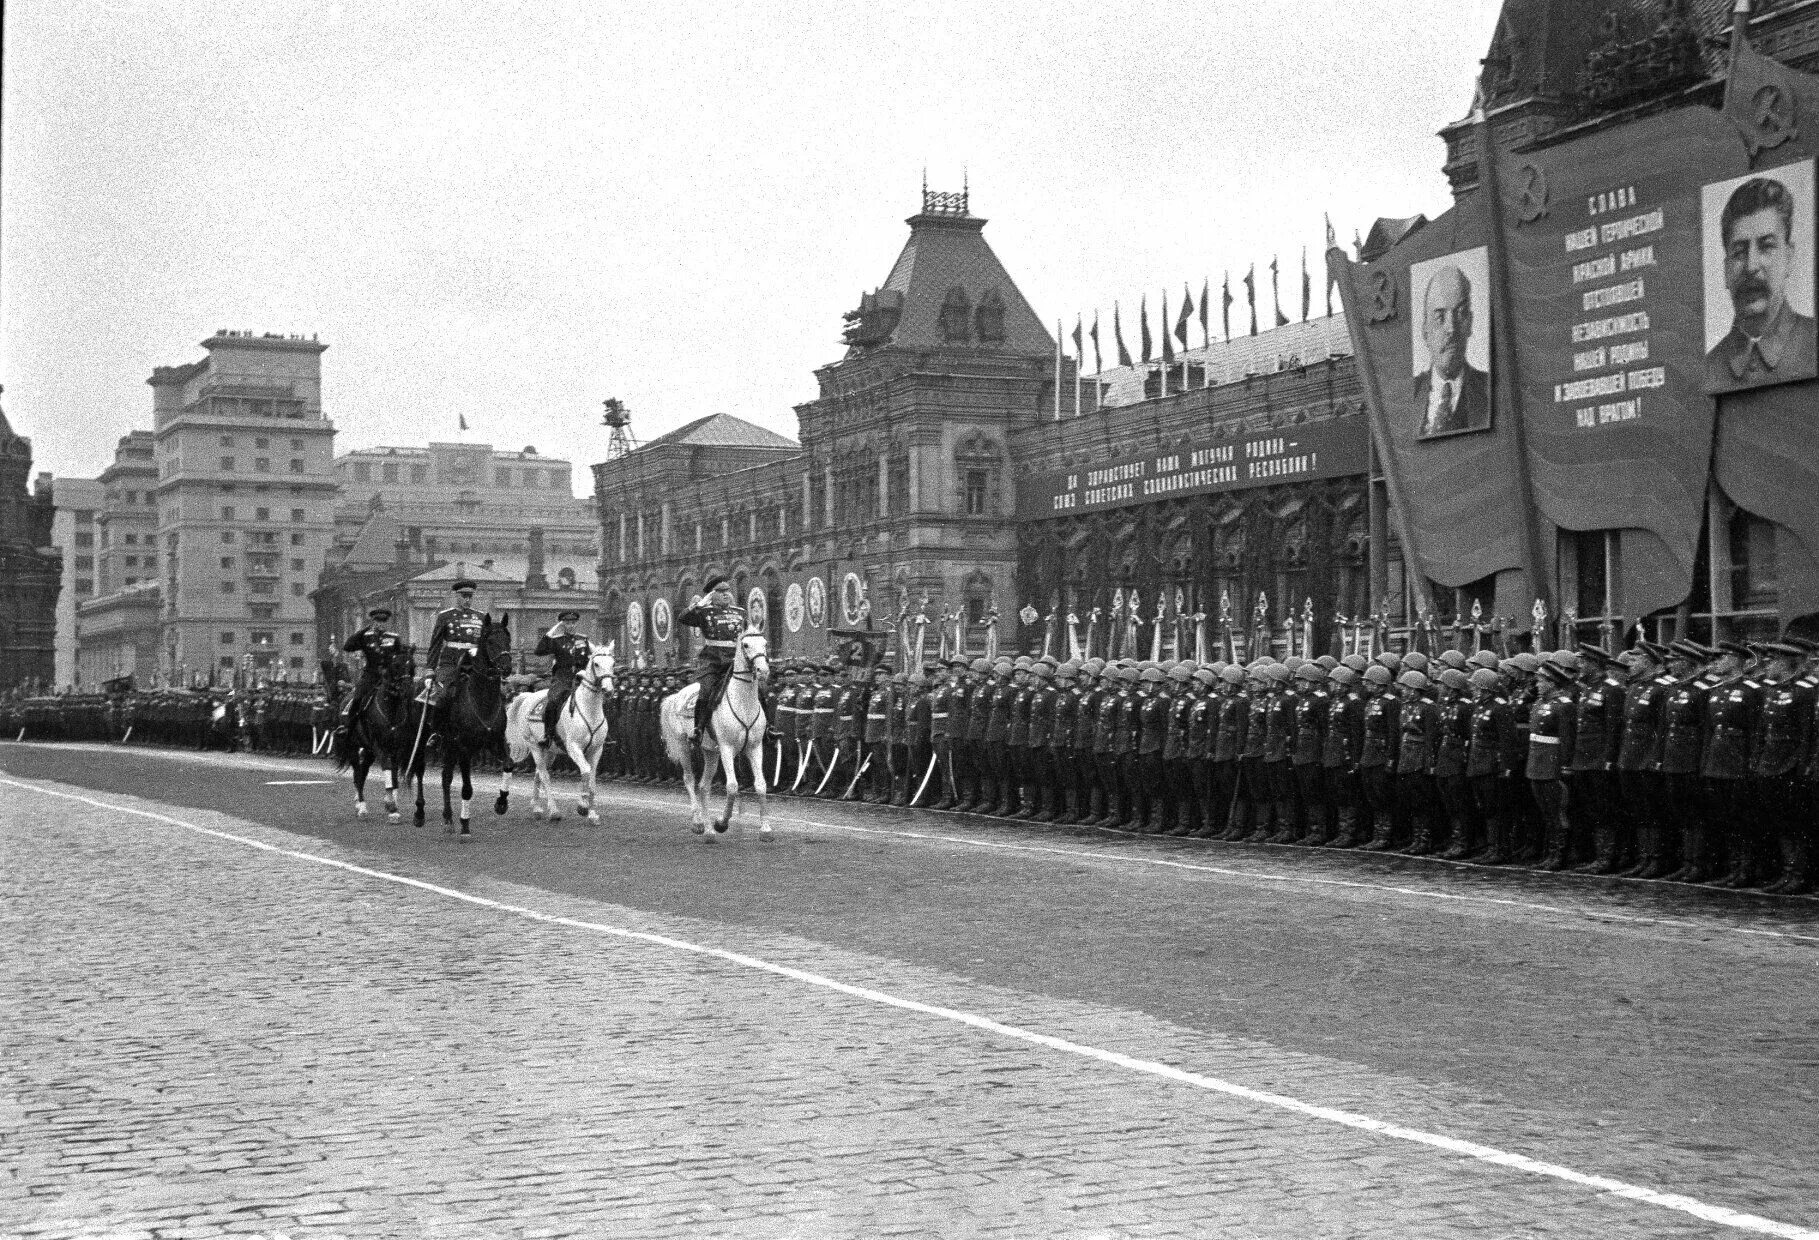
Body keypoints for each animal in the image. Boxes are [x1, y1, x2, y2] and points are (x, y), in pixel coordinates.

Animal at [400, 614, 512, 836]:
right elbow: (467, 788)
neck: (482, 701)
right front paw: (465, 823)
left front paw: (501, 803)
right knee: (421, 770)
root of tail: (417, 683)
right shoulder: (464, 748)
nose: (507, 668)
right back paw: (421, 814)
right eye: (490, 640)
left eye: (508, 639)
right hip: (425, 740)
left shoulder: (495, 741)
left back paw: (447, 817)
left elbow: (508, 764)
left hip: (449, 747)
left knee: (445, 777)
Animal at [498, 647, 618, 821]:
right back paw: (554, 811)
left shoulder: (597, 750)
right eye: (596, 664)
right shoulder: (574, 748)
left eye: (613, 663)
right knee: (544, 775)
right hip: (534, 746)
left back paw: (537, 807)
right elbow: (586, 771)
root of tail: (529, 696)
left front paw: (592, 814)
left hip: (549, 751)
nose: (608, 690)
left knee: (538, 774)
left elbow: (592, 780)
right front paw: (582, 806)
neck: (589, 710)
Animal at [658, 629, 771, 840]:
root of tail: (676, 696)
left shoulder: (754, 747)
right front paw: (722, 823)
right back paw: (699, 823)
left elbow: (761, 784)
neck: (743, 701)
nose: (763, 671)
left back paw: (709, 830)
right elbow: (732, 786)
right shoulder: (726, 748)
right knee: (689, 779)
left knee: (704, 786)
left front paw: (766, 829)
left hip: (711, 752)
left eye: (765, 643)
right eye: (746, 645)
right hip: (683, 745)